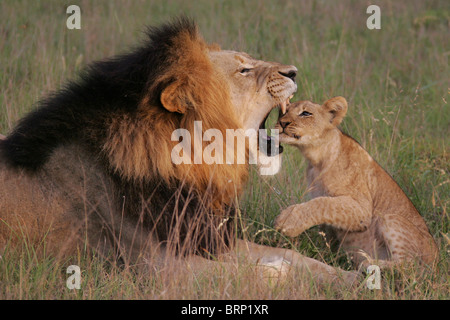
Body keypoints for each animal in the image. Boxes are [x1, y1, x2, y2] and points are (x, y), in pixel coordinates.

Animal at [0, 18, 356, 284]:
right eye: (243, 70)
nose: (293, 71)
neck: (190, 167)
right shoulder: (153, 266)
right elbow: (264, 274)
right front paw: (282, 275)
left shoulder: (205, 236)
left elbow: (296, 257)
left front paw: (352, 279)